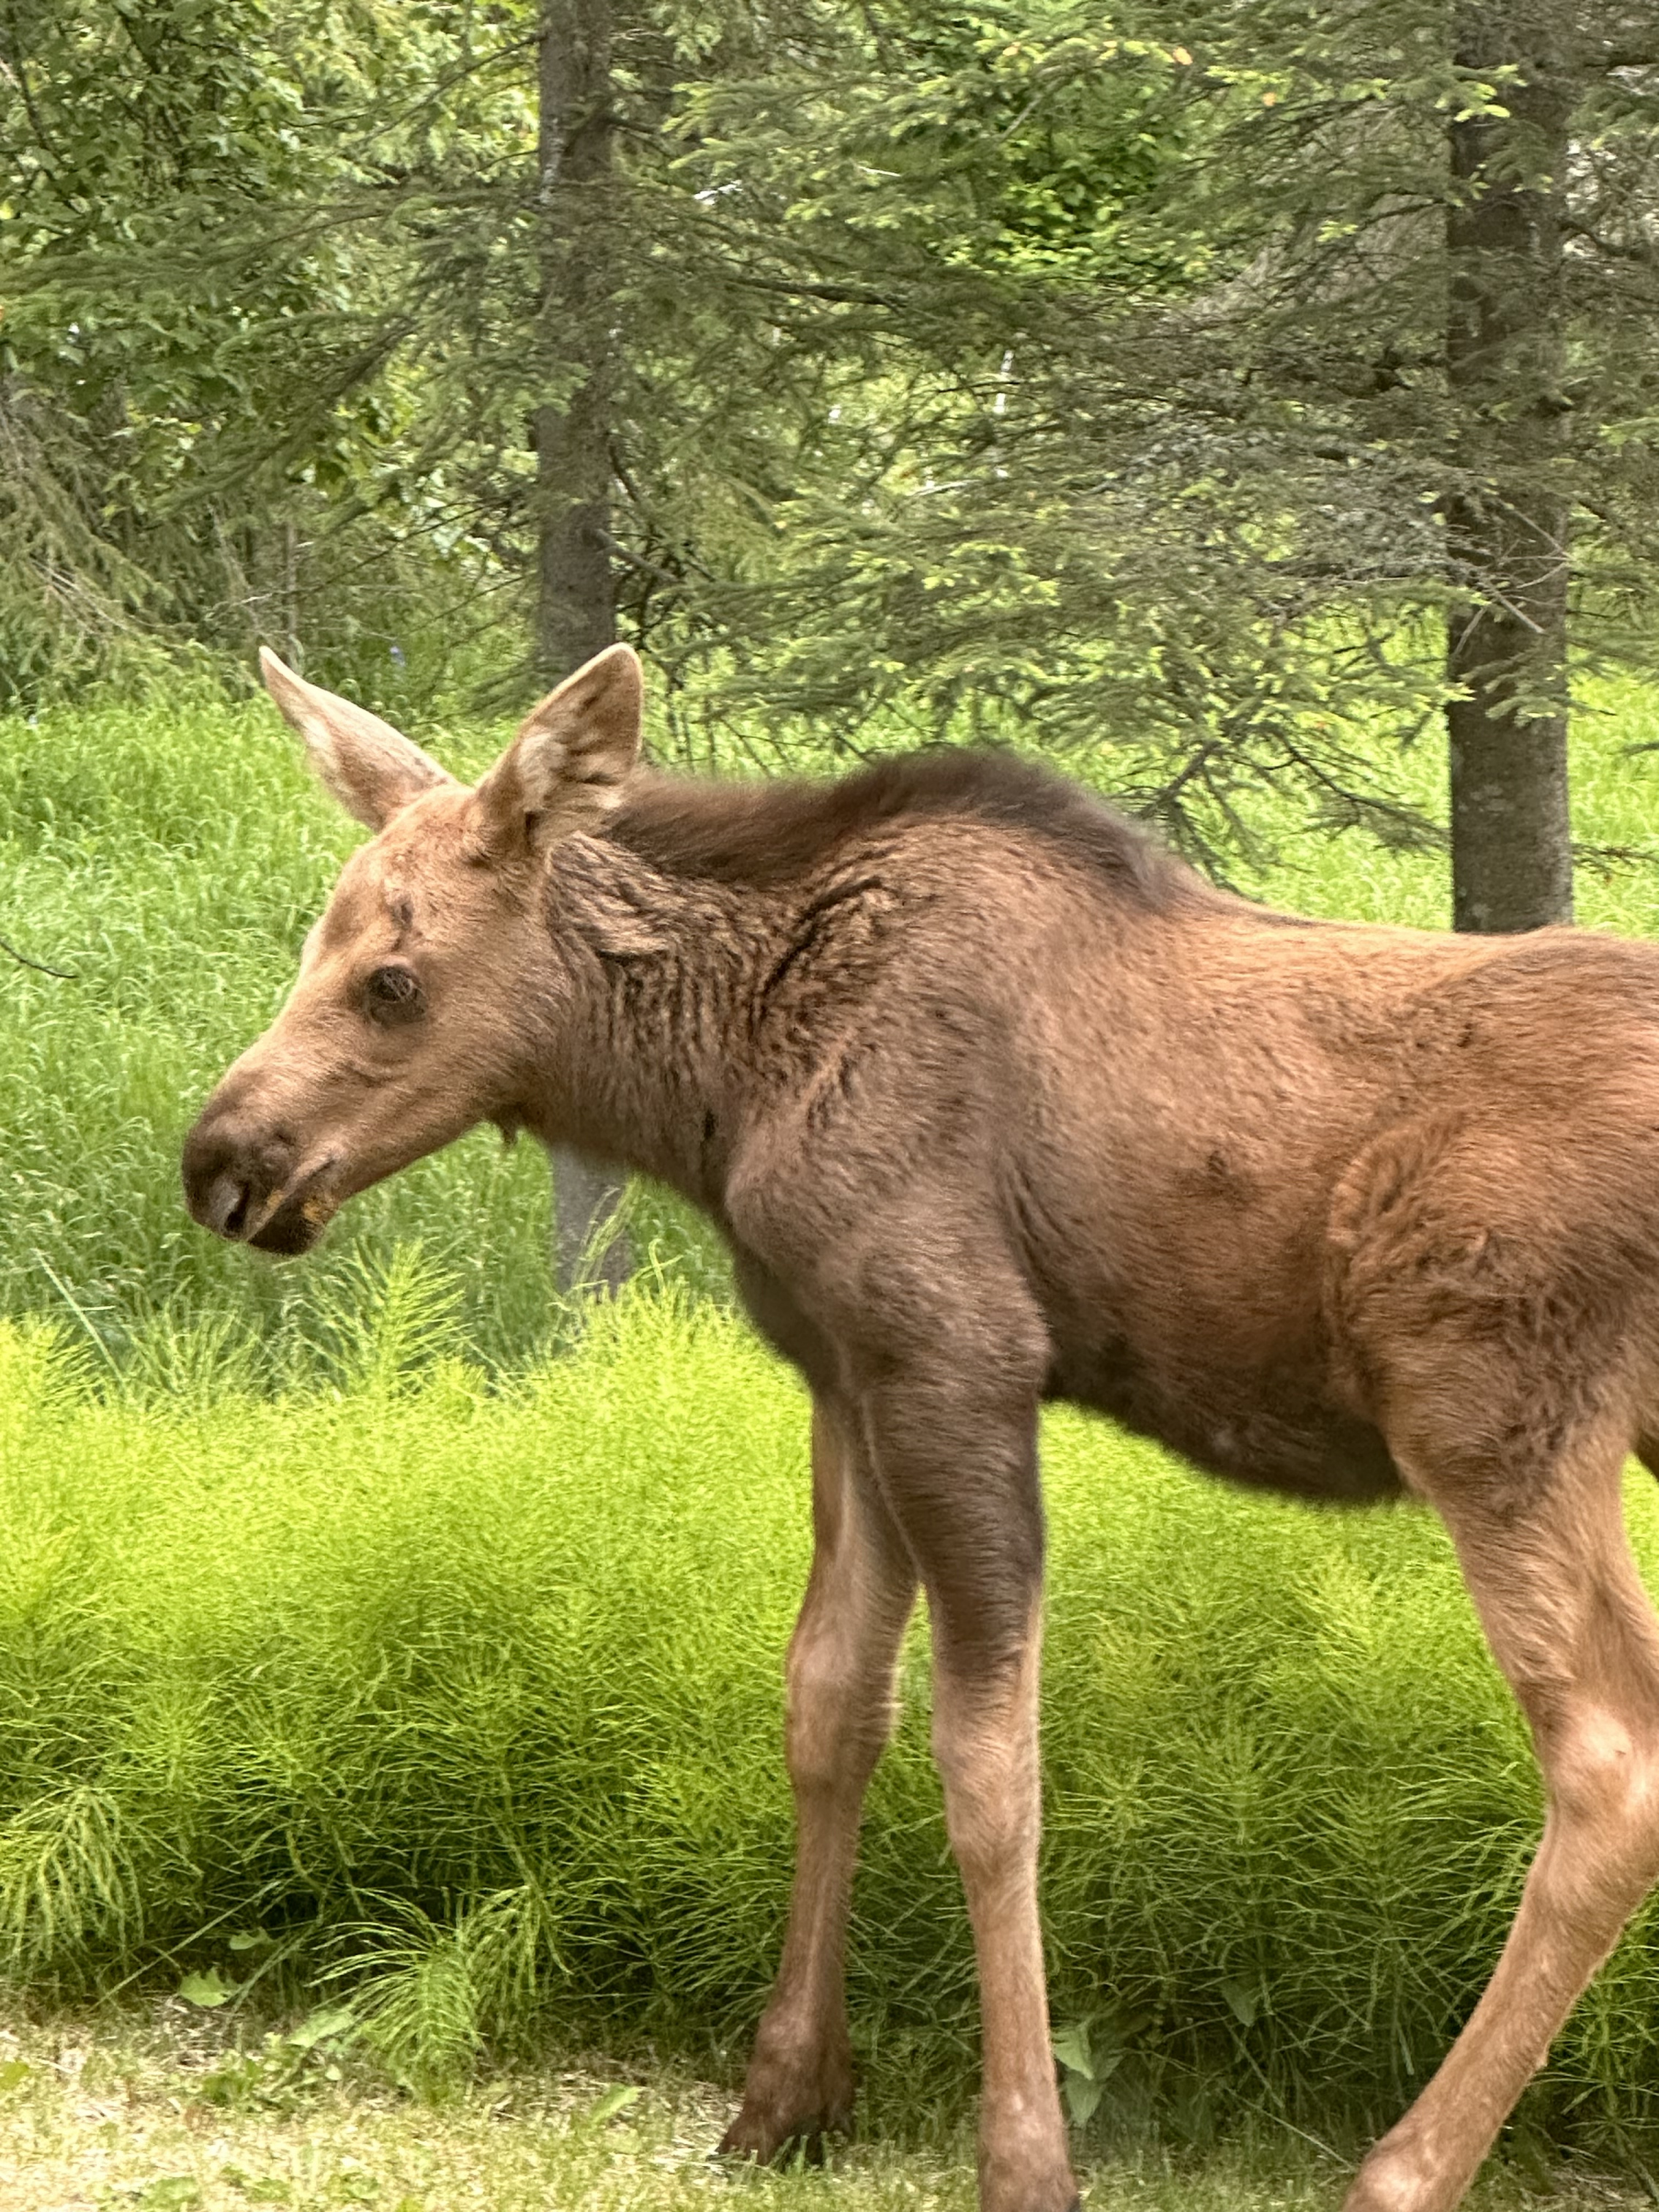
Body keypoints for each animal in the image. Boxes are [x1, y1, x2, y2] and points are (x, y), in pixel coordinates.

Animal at [184, 641, 1659, 2212]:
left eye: (391, 978)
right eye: (314, 944)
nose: (218, 1160)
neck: (719, 1078)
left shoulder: (956, 1357)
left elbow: (987, 1763)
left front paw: (1021, 2152)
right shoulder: (845, 1370)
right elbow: (828, 1700)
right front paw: (783, 2092)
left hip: (1493, 1415)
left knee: (1605, 1761)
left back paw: (1402, 2166)